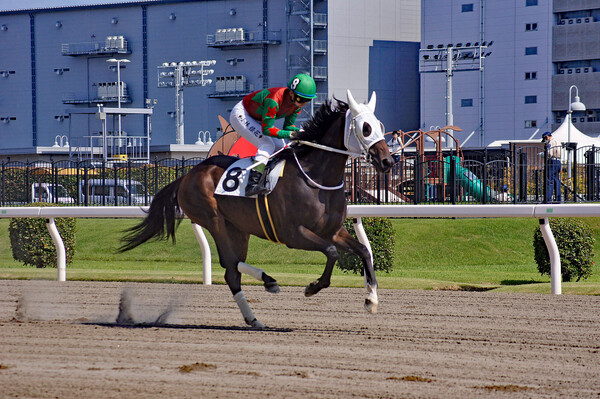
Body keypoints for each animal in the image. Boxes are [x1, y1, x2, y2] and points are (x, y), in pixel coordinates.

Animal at [120, 90, 394, 328]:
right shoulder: (293, 234)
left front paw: (371, 299)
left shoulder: (332, 231)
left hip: (239, 228)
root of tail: (187, 176)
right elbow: (332, 252)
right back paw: (268, 282)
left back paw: (255, 315)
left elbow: (364, 251)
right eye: (365, 128)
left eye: (381, 125)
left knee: (232, 269)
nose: (387, 161)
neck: (316, 177)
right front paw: (312, 287)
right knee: (230, 264)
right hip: (213, 219)